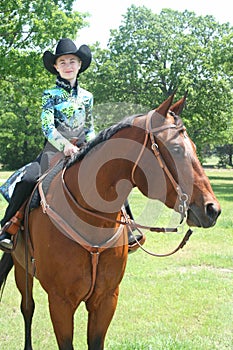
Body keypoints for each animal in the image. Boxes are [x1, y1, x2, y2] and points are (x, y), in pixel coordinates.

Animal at [0, 92, 220, 348]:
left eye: (193, 147)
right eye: (175, 148)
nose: (212, 209)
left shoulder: (106, 299)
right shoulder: (60, 302)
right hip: (21, 267)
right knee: (27, 308)